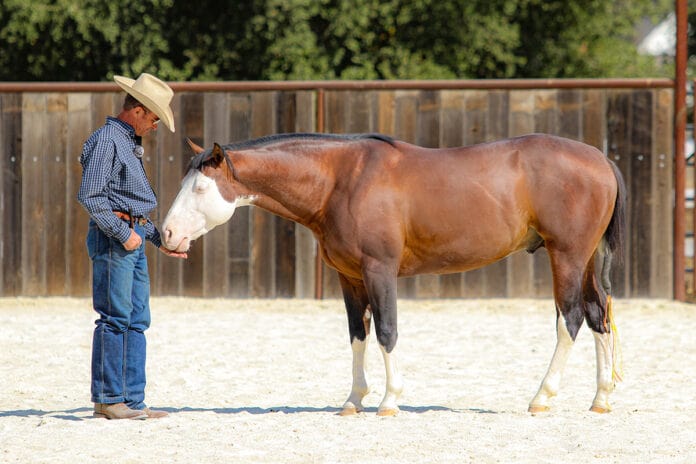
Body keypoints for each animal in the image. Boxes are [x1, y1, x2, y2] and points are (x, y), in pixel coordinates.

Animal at [160, 131, 628, 416]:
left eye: (199, 188)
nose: (166, 234)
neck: (340, 182)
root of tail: (601, 160)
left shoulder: (378, 270)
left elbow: (386, 331)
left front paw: (389, 400)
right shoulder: (349, 278)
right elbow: (358, 335)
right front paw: (353, 400)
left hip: (566, 256)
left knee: (570, 319)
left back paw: (542, 396)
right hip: (585, 259)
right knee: (598, 317)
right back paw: (601, 399)